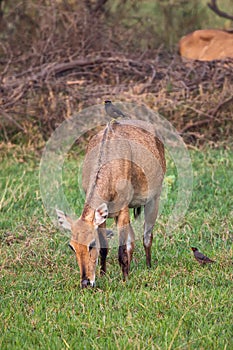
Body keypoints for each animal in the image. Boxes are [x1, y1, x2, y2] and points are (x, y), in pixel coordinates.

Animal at [57, 120, 166, 288]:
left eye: (91, 243)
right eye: (71, 246)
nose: (86, 282)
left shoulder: (123, 209)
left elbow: (121, 250)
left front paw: (125, 279)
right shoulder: (104, 216)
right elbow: (105, 247)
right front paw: (103, 274)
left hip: (154, 199)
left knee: (147, 236)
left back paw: (148, 266)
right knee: (132, 239)